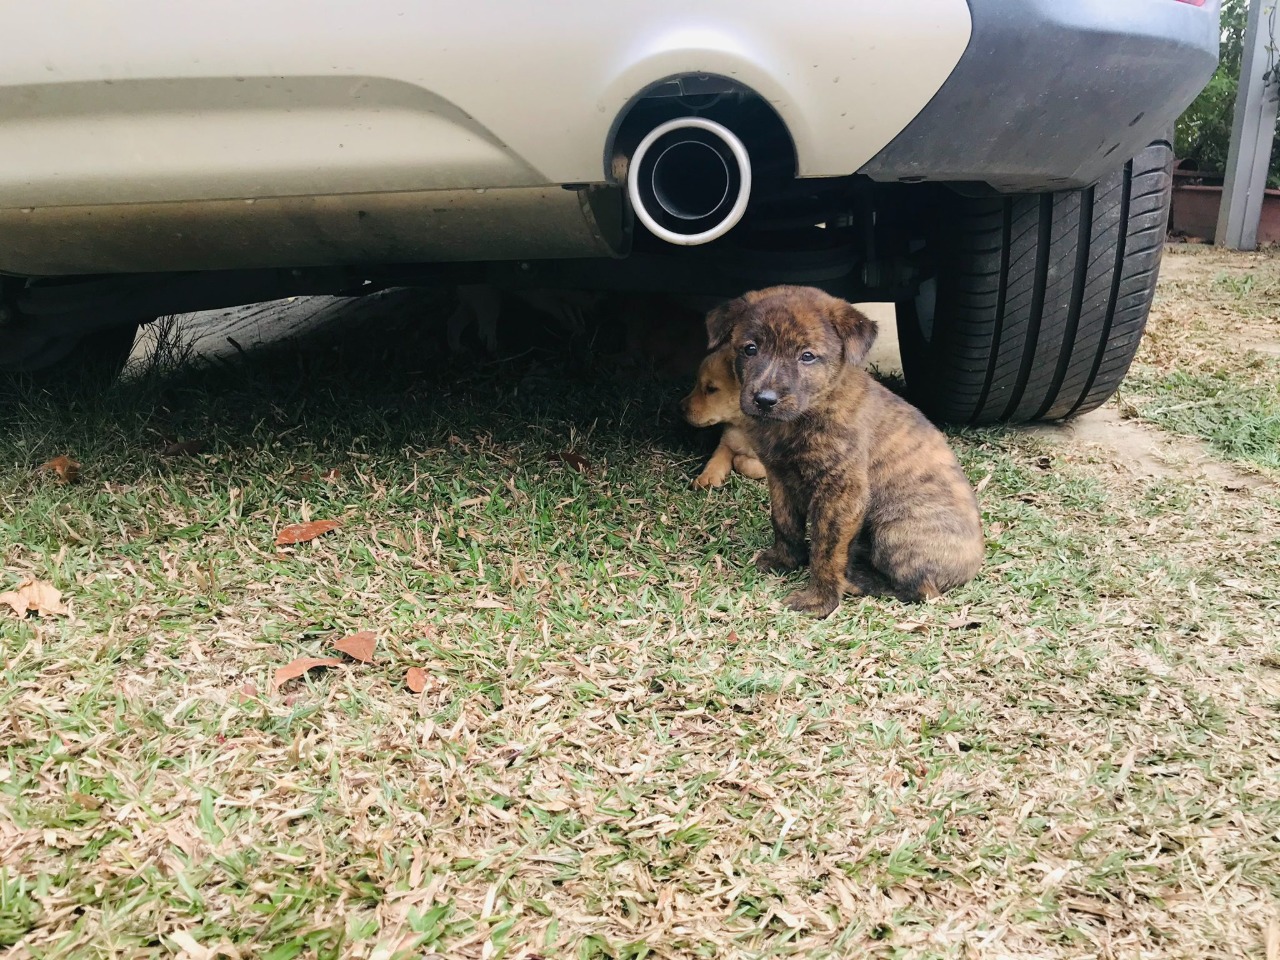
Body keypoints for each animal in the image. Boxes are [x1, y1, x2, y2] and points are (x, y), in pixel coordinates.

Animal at [680, 346, 767, 489]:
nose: (680, 408)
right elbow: (714, 461)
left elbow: (747, 465)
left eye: (711, 388)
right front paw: (707, 478)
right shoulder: (726, 445)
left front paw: (740, 459)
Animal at [707, 285, 983, 618]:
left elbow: (826, 550)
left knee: (922, 590)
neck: (810, 411)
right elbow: (784, 522)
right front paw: (785, 561)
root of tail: (970, 569)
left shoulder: (842, 492)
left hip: (895, 532)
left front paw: (819, 600)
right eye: (750, 349)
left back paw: (856, 582)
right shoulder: (780, 477)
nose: (765, 400)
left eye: (807, 356)